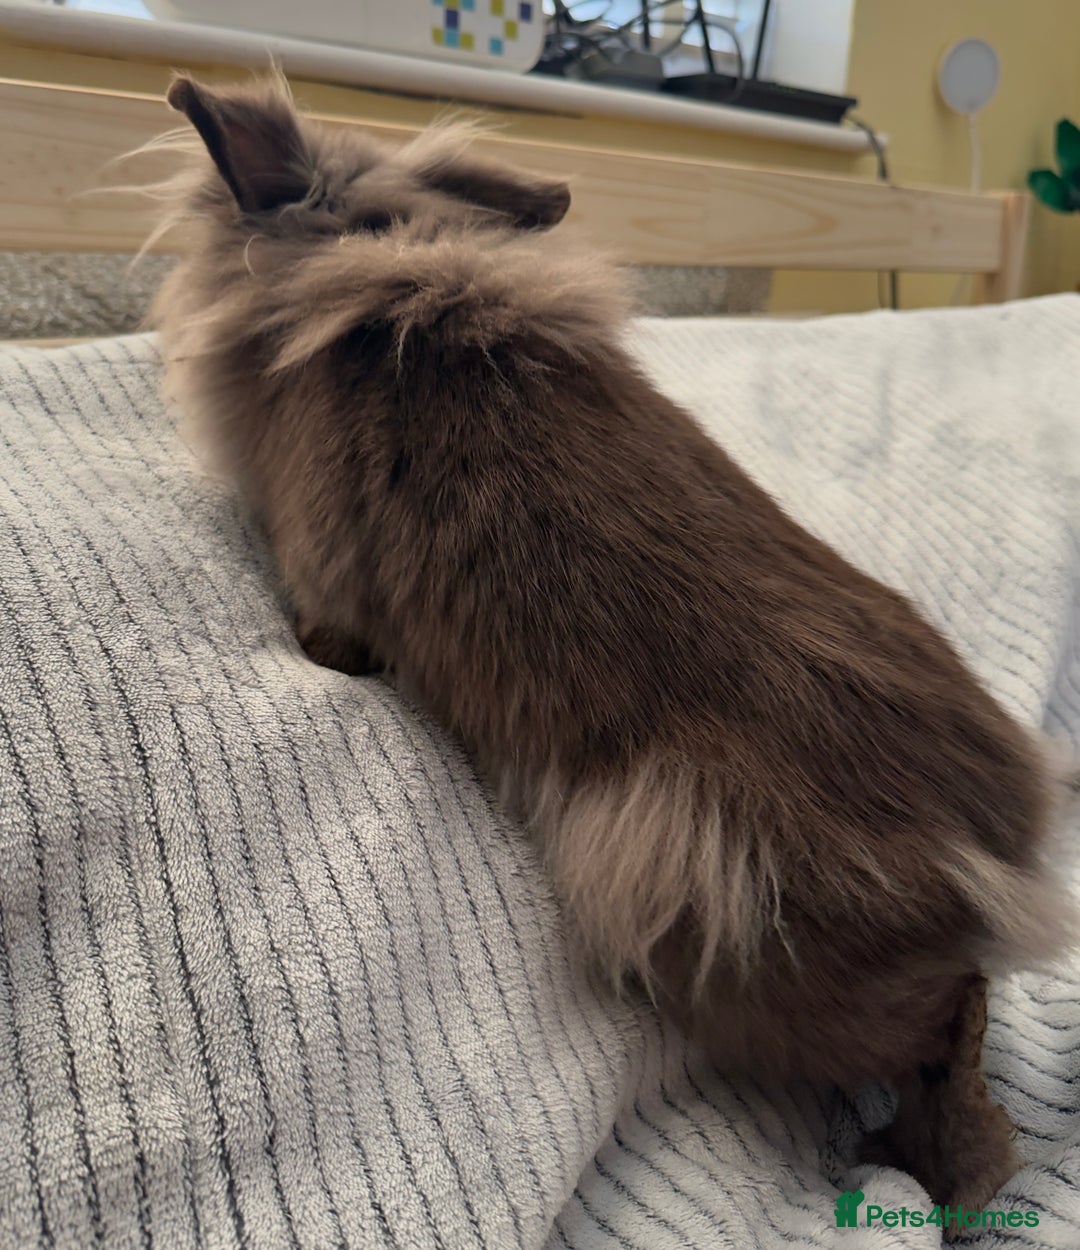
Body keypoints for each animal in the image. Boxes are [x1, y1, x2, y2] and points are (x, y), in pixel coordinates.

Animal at [149, 71, 1077, 1221]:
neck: (373, 254)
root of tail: (995, 856)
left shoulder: (323, 582)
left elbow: (330, 636)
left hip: (719, 938)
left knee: (953, 1031)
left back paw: (919, 1161)